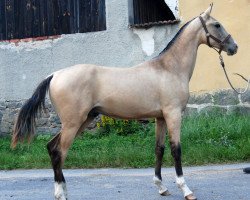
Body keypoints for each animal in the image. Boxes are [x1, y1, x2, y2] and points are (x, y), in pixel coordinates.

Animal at [12, 4, 238, 200]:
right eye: (217, 24)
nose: (234, 47)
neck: (169, 69)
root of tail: (55, 75)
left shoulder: (160, 118)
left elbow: (159, 149)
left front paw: (161, 187)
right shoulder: (173, 115)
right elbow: (176, 149)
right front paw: (186, 190)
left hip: (82, 120)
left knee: (52, 148)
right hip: (73, 123)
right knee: (60, 152)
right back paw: (61, 194)